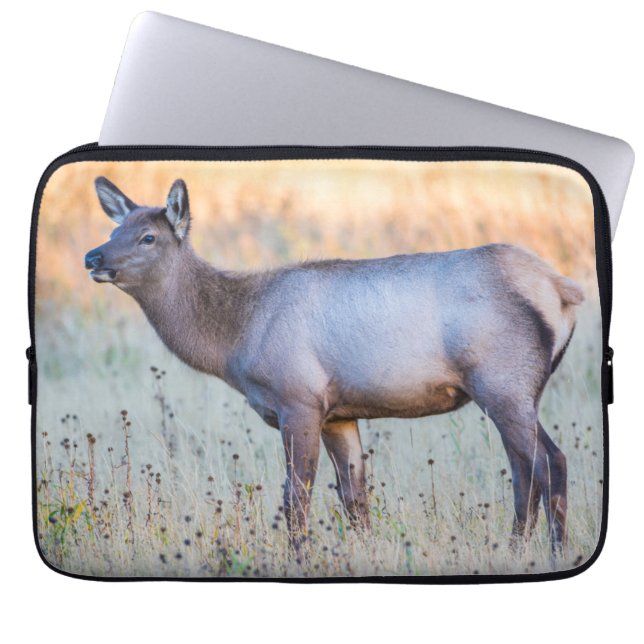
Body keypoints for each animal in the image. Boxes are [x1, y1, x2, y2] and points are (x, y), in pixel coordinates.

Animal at [84, 176, 584, 556]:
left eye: (148, 237)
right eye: (113, 232)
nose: (93, 257)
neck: (237, 339)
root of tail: (562, 289)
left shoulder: (299, 399)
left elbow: (296, 497)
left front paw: (299, 557)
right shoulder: (339, 414)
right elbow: (354, 497)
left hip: (503, 381)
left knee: (547, 462)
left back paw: (553, 551)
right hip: (515, 389)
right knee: (526, 468)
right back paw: (516, 548)